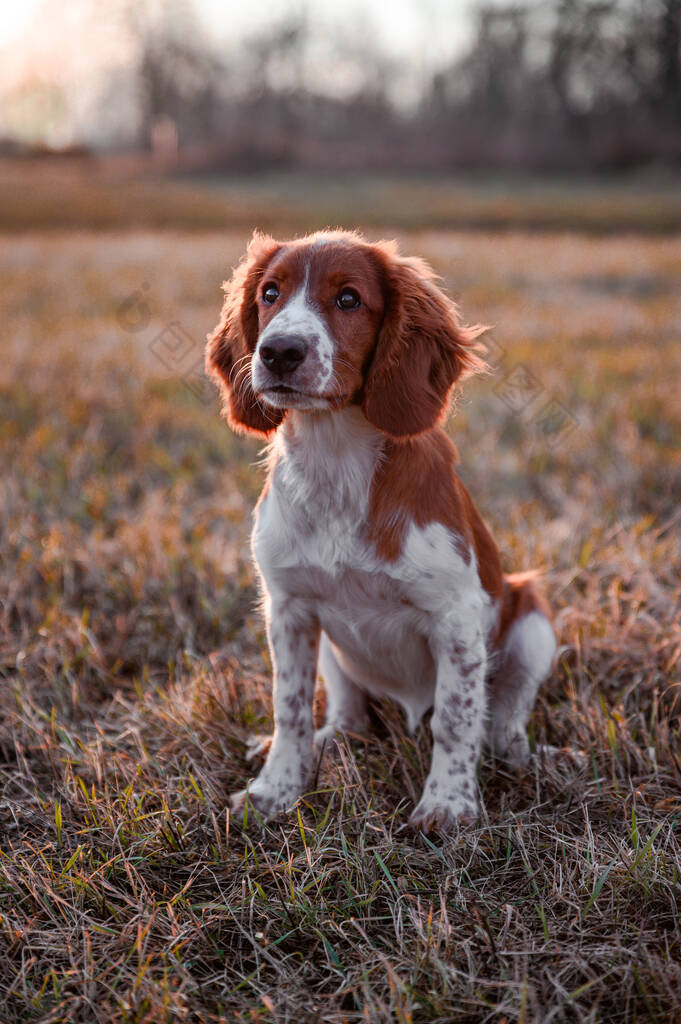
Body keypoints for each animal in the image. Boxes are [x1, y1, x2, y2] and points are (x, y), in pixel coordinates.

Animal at [204, 228, 557, 827]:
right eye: (270, 293)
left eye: (349, 299)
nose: (277, 352)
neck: (337, 459)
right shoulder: (289, 608)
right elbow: (289, 708)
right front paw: (274, 791)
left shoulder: (457, 619)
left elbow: (456, 719)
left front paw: (448, 806)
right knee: (348, 714)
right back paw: (328, 740)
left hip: (532, 621)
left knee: (506, 713)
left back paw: (521, 757)